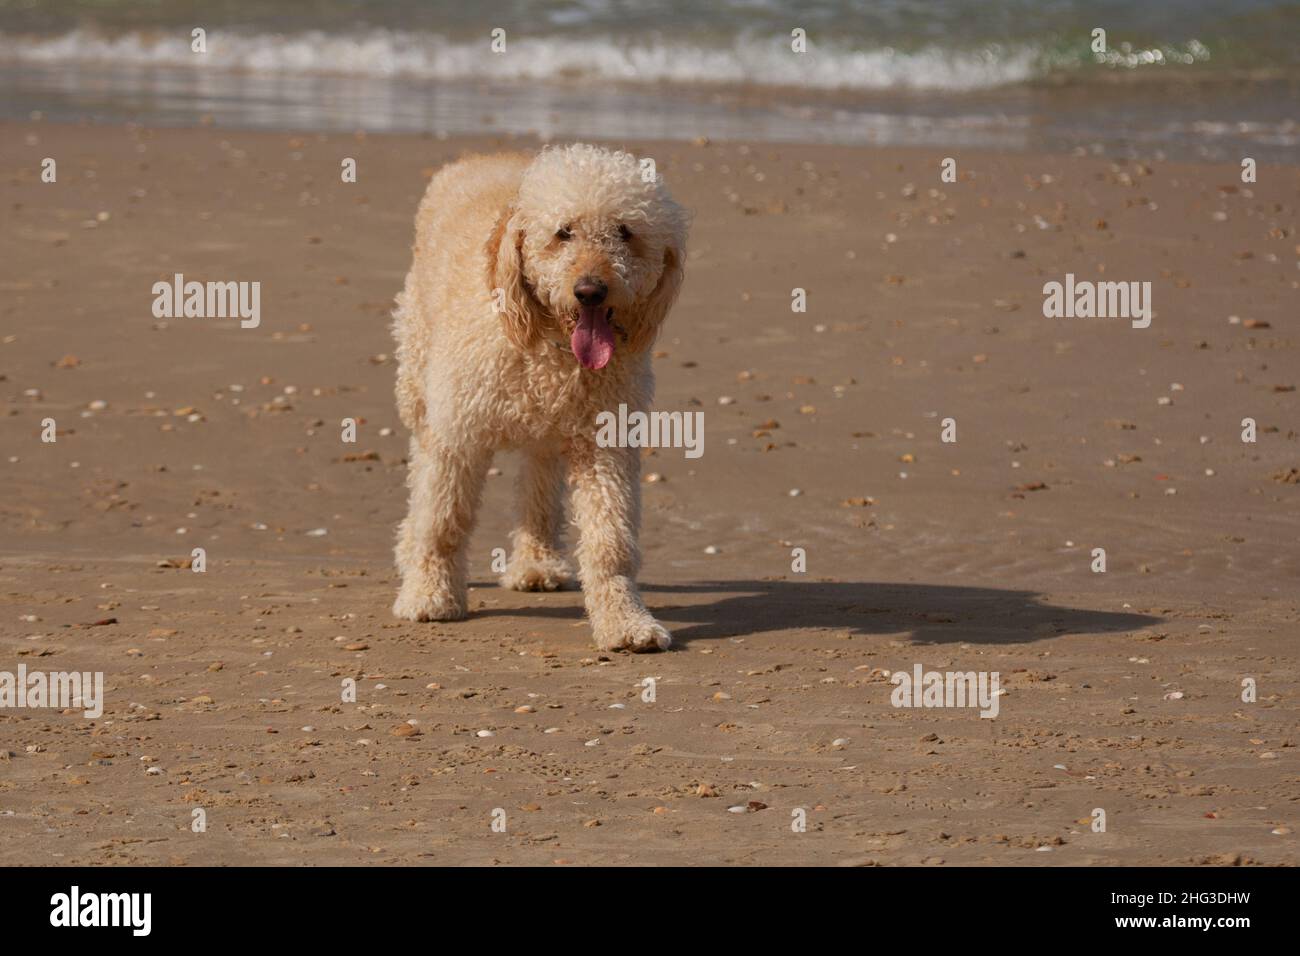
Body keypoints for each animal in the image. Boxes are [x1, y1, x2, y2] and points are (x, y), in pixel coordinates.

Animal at [387, 143, 686, 650]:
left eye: (625, 232)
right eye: (562, 233)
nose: (590, 290)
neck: (552, 348)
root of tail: (480, 156)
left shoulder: (605, 445)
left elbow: (610, 541)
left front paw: (625, 621)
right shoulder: (459, 434)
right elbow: (443, 518)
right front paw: (430, 594)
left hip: (547, 435)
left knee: (539, 483)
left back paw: (537, 561)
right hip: (418, 383)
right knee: (421, 467)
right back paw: (411, 548)